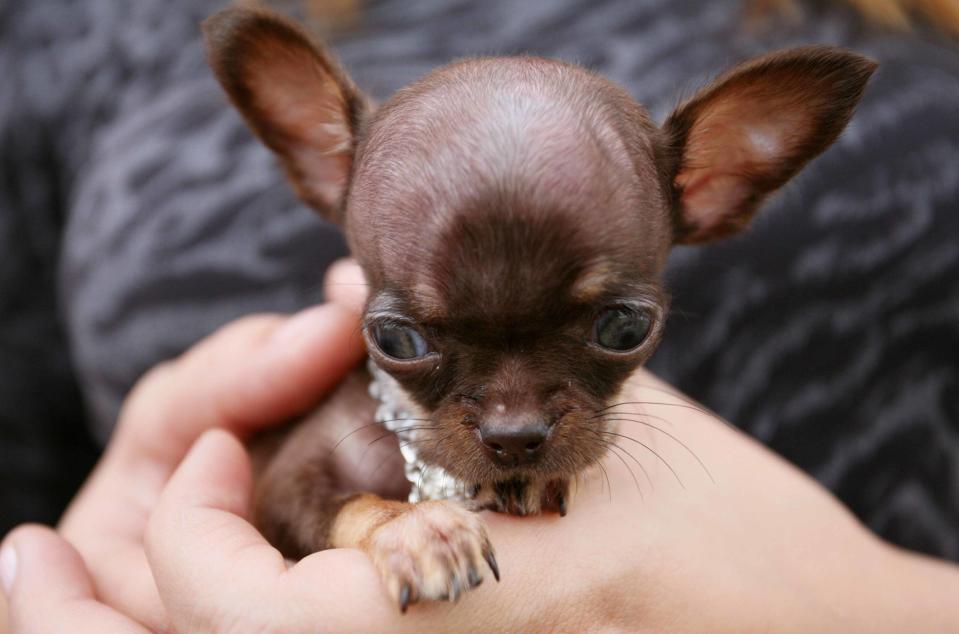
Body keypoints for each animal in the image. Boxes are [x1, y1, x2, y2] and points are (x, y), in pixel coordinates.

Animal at [202, 7, 876, 612]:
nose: (515, 436)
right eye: (396, 341)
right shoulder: (283, 479)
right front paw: (417, 529)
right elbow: (349, 504)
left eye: (625, 328)